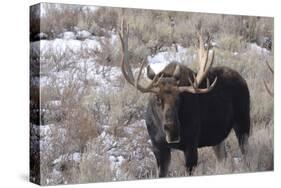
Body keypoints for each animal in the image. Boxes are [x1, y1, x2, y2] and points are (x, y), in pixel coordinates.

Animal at [118, 20, 249, 176]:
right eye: (157, 98)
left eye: (179, 99)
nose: (172, 130)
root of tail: (242, 79)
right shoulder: (158, 147)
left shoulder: (191, 145)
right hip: (218, 137)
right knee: (223, 157)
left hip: (243, 123)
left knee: (247, 155)